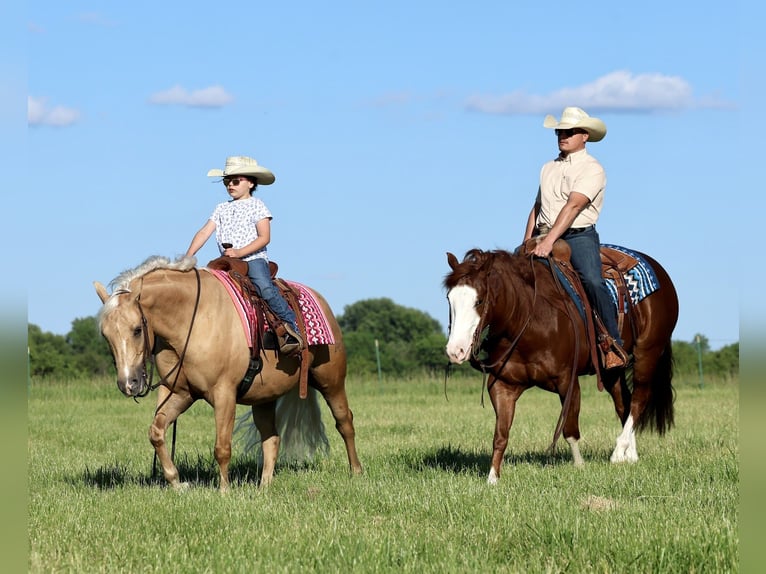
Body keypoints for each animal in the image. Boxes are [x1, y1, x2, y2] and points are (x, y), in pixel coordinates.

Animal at [94, 255, 362, 491]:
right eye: (106, 336)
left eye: (137, 329)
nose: (128, 383)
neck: (193, 319)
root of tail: (320, 300)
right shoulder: (180, 393)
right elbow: (157, 432)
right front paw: (177, 483)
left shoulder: (224, 394)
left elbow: (222, 447)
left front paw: (224, 492)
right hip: (264, 398)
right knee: (272, 438)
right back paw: (264, 487)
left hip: (331, 381)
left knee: (345, 422)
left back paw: (356, 471)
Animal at [444, 244, 678, 484]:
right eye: (449, 298)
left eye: (479, 300)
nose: (455, 351)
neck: (529, 319)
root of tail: (658, 270)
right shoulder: (503, 386)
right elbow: (501, 435)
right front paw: (492, 479)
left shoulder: (568, 381)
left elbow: (570, 430)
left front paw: (580, 466)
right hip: (612, 370)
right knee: (624, 403)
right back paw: (629, 455)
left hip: (648, 352)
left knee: (640, 398)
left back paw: (617, 452)